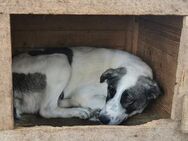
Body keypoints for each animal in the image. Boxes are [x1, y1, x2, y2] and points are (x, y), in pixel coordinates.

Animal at [12, 46, 162, 124]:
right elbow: (100, 101)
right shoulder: (84, 93)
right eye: (110, 90)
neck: (134, 67)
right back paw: (79, 111)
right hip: (60, 60)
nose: (103, 119)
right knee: (46, 109)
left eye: (130, 100)